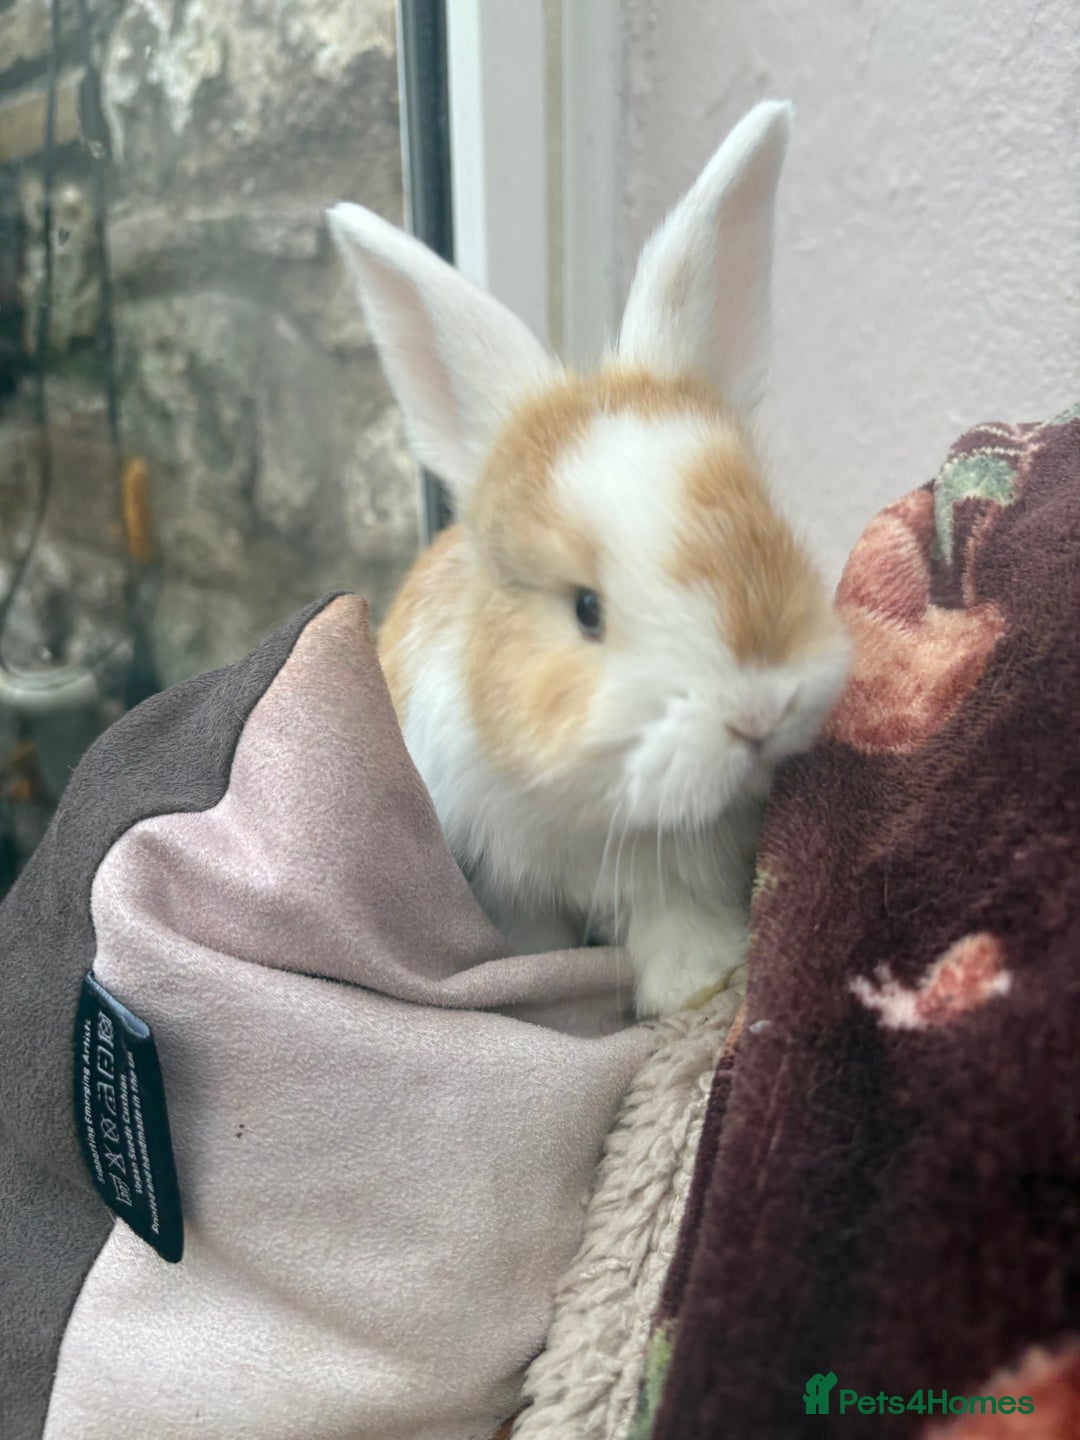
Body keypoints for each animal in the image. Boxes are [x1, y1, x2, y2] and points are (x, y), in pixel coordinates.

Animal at [327, 100, 850, 1018]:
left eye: (767, 526)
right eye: (585, 609)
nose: (755, 713)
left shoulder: (680, 871)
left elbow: (675, 918)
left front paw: (700, 983)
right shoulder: (509, 879)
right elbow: (537, 943)